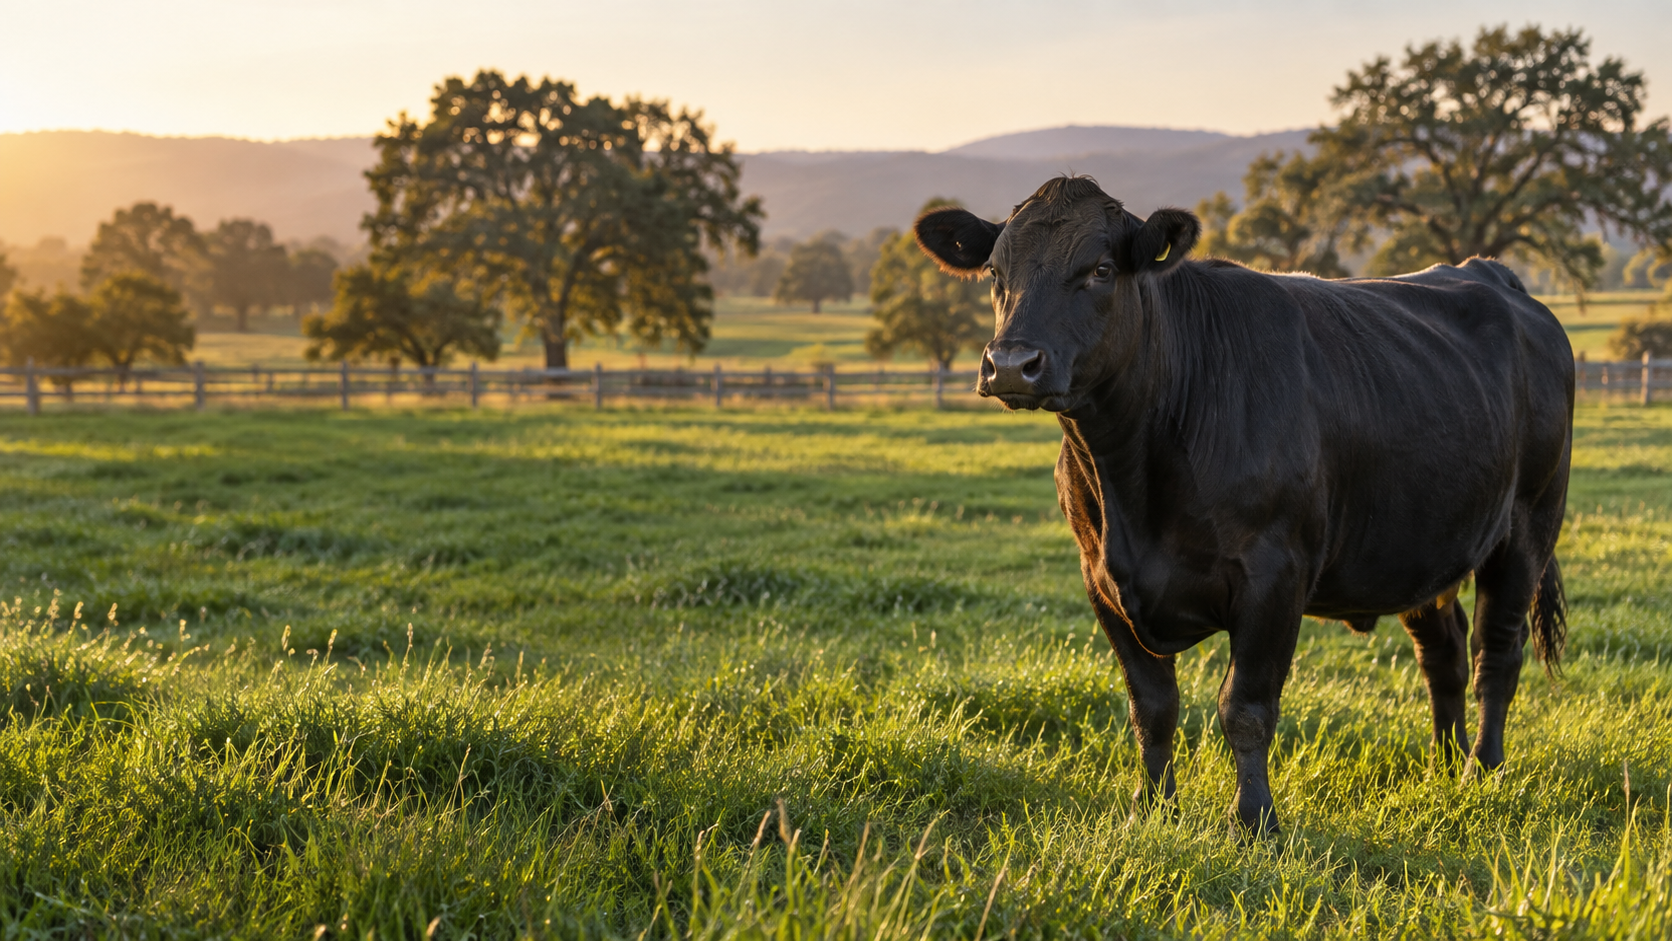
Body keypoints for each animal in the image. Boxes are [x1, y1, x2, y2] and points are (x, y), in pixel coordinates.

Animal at [914, 177, 1573, 835]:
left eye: (1100, 269)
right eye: (996, 271)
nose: (1010, 364)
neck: (1133, 483)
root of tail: (1490, 275)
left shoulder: (1274, 575)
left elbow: (1246, 707)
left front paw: (1255, 821)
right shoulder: (1099, 578)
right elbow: (1151, 707)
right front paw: (1151, 810)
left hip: (1527, 527)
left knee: (1497, 654)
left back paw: (1482, 770)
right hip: (1416, 547)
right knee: (1445, 654)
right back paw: (1443, 763)